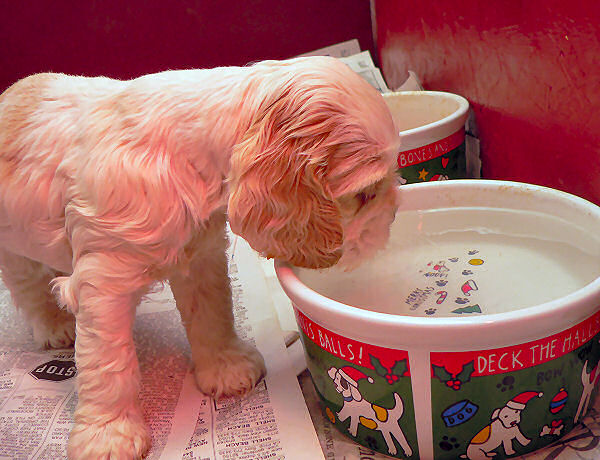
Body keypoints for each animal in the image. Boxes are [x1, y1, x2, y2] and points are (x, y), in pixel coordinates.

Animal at [1, 55, 404, 458]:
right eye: (364, 194)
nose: (392, 221)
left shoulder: (201, 256)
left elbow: (212, 313)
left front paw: (226, 368)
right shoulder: (104, 281)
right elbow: (108, 365)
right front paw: (107, 434)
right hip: (14, 242)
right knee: (28, 285)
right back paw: (55, 325)